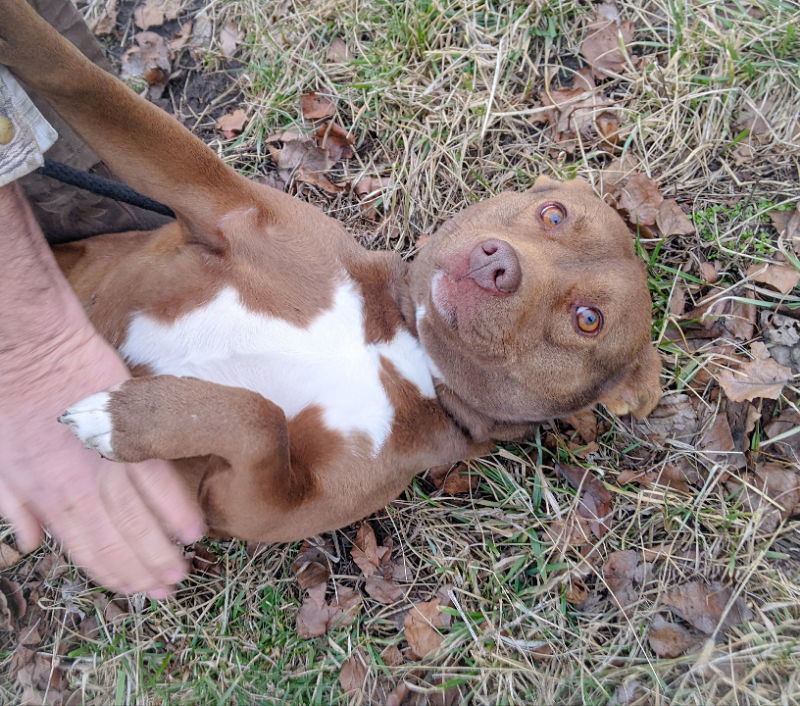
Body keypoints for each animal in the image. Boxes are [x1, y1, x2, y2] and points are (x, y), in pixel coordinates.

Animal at [1, 0, 664, 540]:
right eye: (553, 215)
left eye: (587, 319)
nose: (499, 263)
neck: (400, 345)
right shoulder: (214, 200)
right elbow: (78, 79)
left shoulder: (253, 504)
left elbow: (258, 417)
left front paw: (124, 420)